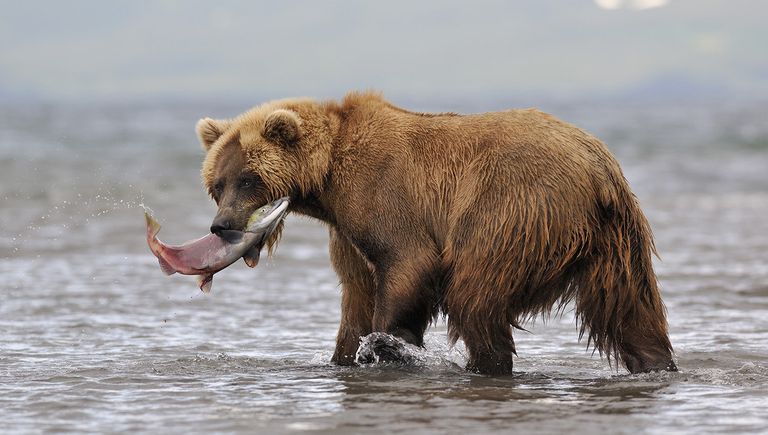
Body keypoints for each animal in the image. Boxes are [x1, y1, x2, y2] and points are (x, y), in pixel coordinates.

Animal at [196, 91, 676, 375]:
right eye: (217, 183)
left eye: (248, 180)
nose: (222, 225)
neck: (327, 182)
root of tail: (599, 167)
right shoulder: (347, 235)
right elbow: (356, 296)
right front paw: (346, 356)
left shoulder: (383, 195)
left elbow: (407, 262)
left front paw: (388, 344)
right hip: (616, 242)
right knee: (629, 308)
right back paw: (655, 362)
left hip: (512, 207)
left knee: (475, 294)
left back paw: (487, 364)